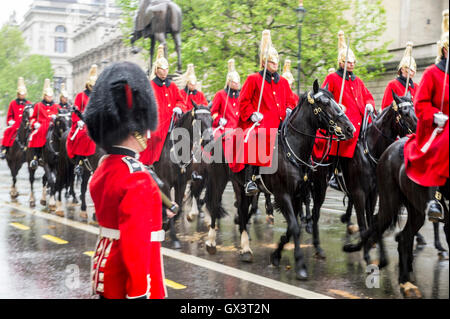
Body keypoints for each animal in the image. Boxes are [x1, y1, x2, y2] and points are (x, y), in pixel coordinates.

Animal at [153, 104, 213, 249]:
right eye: (199, 120)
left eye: (212, 120)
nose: (210, 141)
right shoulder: (166, 183)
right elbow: (173, 206)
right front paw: (174, 237)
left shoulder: (181, 183)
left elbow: (178, 208)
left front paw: (166, 226)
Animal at [204, 80, 356, 280]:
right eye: (324, 103)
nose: (350, 129)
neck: (292, 149)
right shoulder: (282, 195)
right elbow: (295, 227)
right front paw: (300, 265)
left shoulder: (298, 195)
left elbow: (293, 227)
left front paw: (276, 254)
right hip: (218, 180)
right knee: (214, 206)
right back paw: (211, 242)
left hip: (239, 185)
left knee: (243, 212)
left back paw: (245, 249)